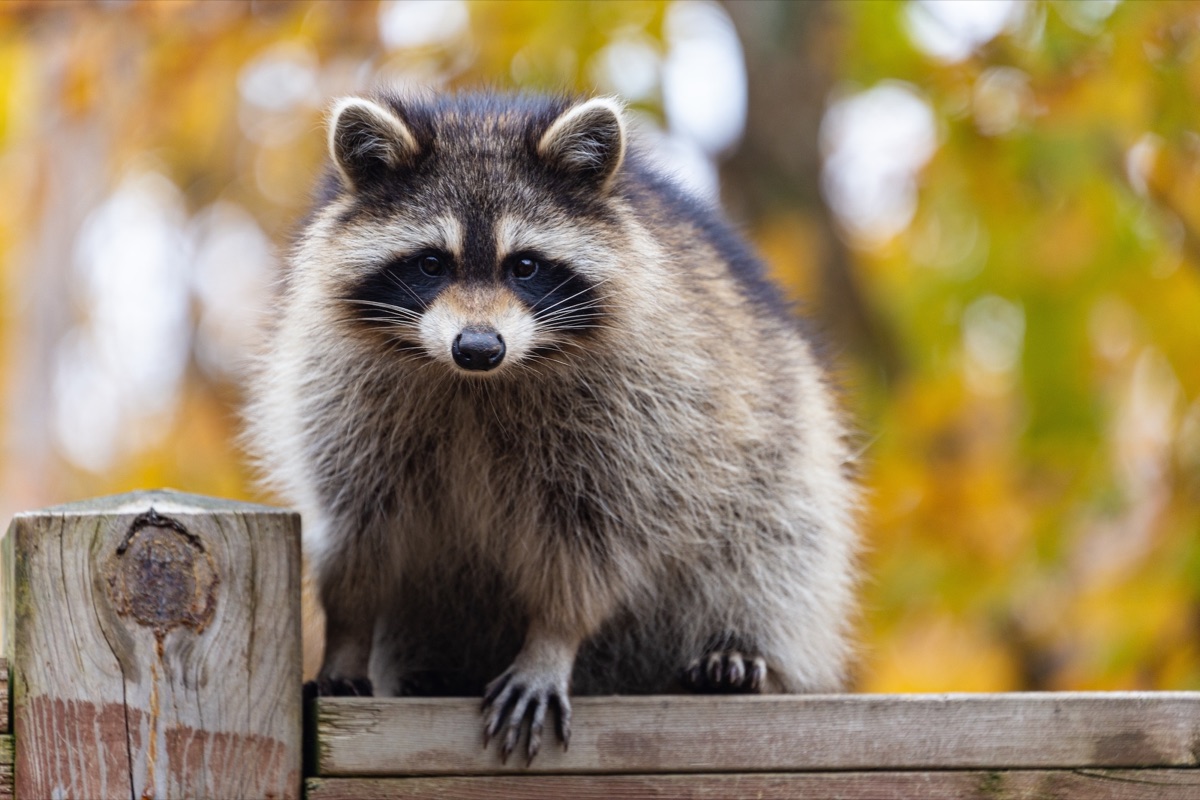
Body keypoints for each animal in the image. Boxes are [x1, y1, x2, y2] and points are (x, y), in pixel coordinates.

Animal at [245, 91, 858, 763]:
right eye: (432, 263)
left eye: (526, 266)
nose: (478, 347)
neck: (475, 384)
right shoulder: (341, 402)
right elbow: (358, 535)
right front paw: (348, 635)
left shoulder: (645, 414)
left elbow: (593, 543)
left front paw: (552, 640)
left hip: (781, 448)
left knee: (775, 543)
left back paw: (743, 650)